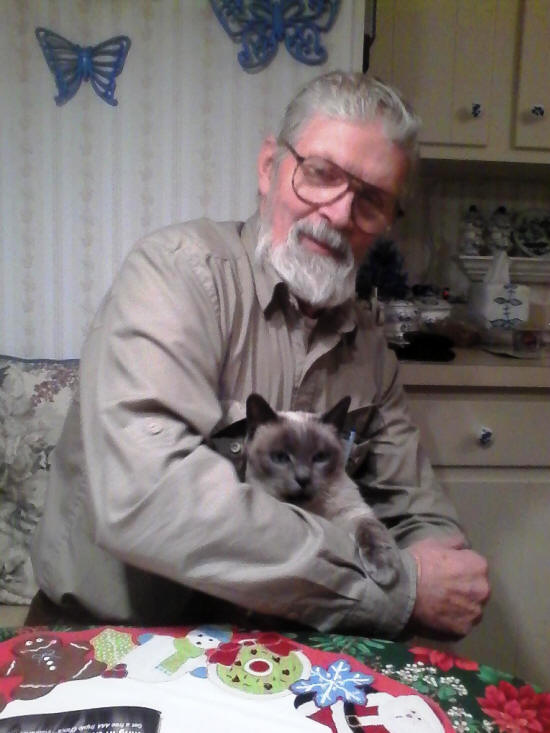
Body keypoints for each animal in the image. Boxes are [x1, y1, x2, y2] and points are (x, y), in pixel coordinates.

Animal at [244, 393, 400, 586]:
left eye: (320, 457)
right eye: (280, 457)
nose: (303, 479)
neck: (314, 511)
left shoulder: (355, 513)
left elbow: (372, 532)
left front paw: (384, 571)